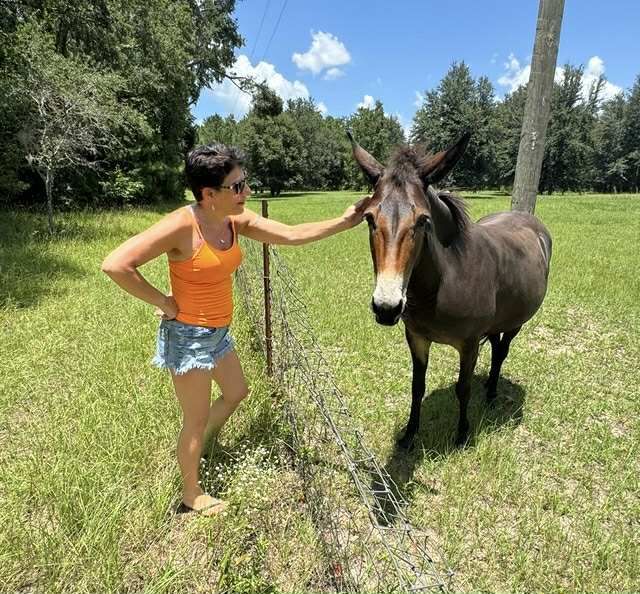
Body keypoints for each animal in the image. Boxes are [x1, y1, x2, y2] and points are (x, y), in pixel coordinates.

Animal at [348, 131, 552, 448]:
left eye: (423, 220)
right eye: (369, 218)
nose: (387, 308)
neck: (444, 281)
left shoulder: (469, 344)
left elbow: (462, 388)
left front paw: (462, 434)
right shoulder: (417, 338)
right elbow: (417, 386)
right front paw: (410, 434)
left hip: (515, 323)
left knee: (501, 352)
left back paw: (491, 393)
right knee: (496, 347)